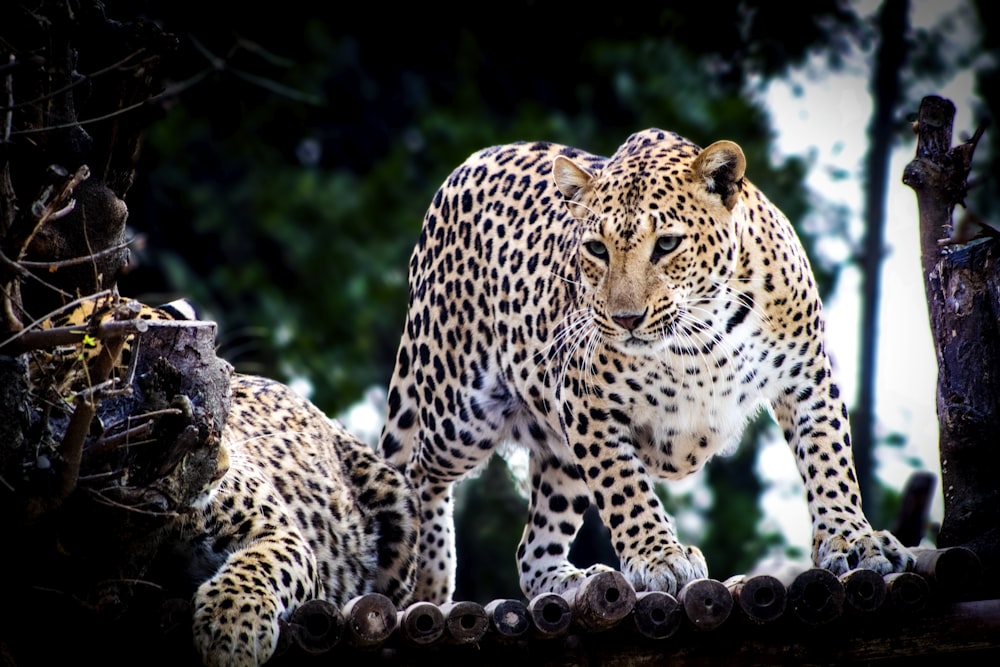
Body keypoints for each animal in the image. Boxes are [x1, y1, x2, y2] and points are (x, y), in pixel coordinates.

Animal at [380, 128, 916, 604]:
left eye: (667, 245)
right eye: (597, 249)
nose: (625, 318)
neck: (702, 331)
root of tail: (465, 166)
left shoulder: (808, 377)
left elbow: (830, 460)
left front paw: (853, 540)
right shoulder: (587, 403)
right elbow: (624, 486)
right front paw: (660, 557)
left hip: (556, 454)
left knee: (531, 551)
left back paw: (570, 581)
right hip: (460, 408)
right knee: (415, 470)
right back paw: (430, 575)